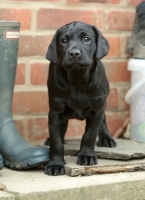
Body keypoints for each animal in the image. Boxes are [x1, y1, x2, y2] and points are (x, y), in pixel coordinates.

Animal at [44, 21, 116, 176]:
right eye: (64, 40)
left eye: (86, 39)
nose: (74, 53)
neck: (77, 80)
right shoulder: (56, 112)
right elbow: (56, 140)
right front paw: (55, 164)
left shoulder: (96, 110)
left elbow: (89, 135)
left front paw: (87, 156)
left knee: (103, 119)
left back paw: (106, 139)